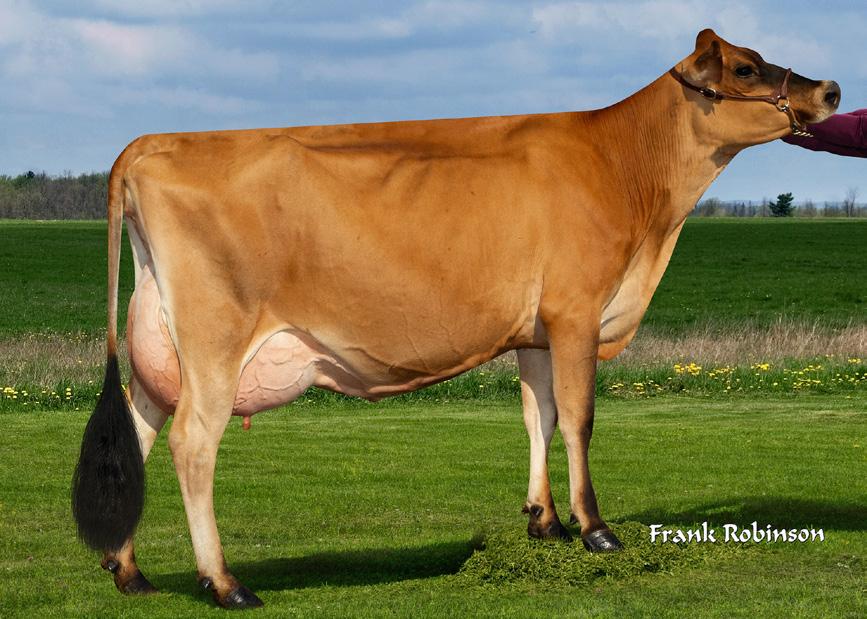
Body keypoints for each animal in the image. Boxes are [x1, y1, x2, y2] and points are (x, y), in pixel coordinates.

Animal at [72, 29, 840, 608]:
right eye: (746, 68)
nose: (830, 90)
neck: (626, 173)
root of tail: (151, 142)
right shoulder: (577, 312)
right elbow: (579, 417)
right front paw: (595, 529)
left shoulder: (535, 330)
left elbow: (539, 416)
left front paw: (543, 523)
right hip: (215, 344)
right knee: (191, 444)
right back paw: (225, 582)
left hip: (159, 344)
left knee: (136, 433)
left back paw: (130, 571)